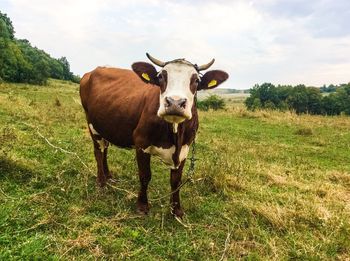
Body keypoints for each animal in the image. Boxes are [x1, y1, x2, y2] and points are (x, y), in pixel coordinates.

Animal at [78, 53, 227, 216]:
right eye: (161, 76)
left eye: (196, 80)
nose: (175, 103)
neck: (175, 133)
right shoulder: (141, 143)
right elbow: (145, 176)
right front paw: (142, 205)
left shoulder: (184, 149)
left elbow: (176, 181)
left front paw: (176, 209)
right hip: (91, 123)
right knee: (98, 151)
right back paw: (101, 182)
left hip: (105, 125)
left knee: (105, 148)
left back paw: (108, 176)